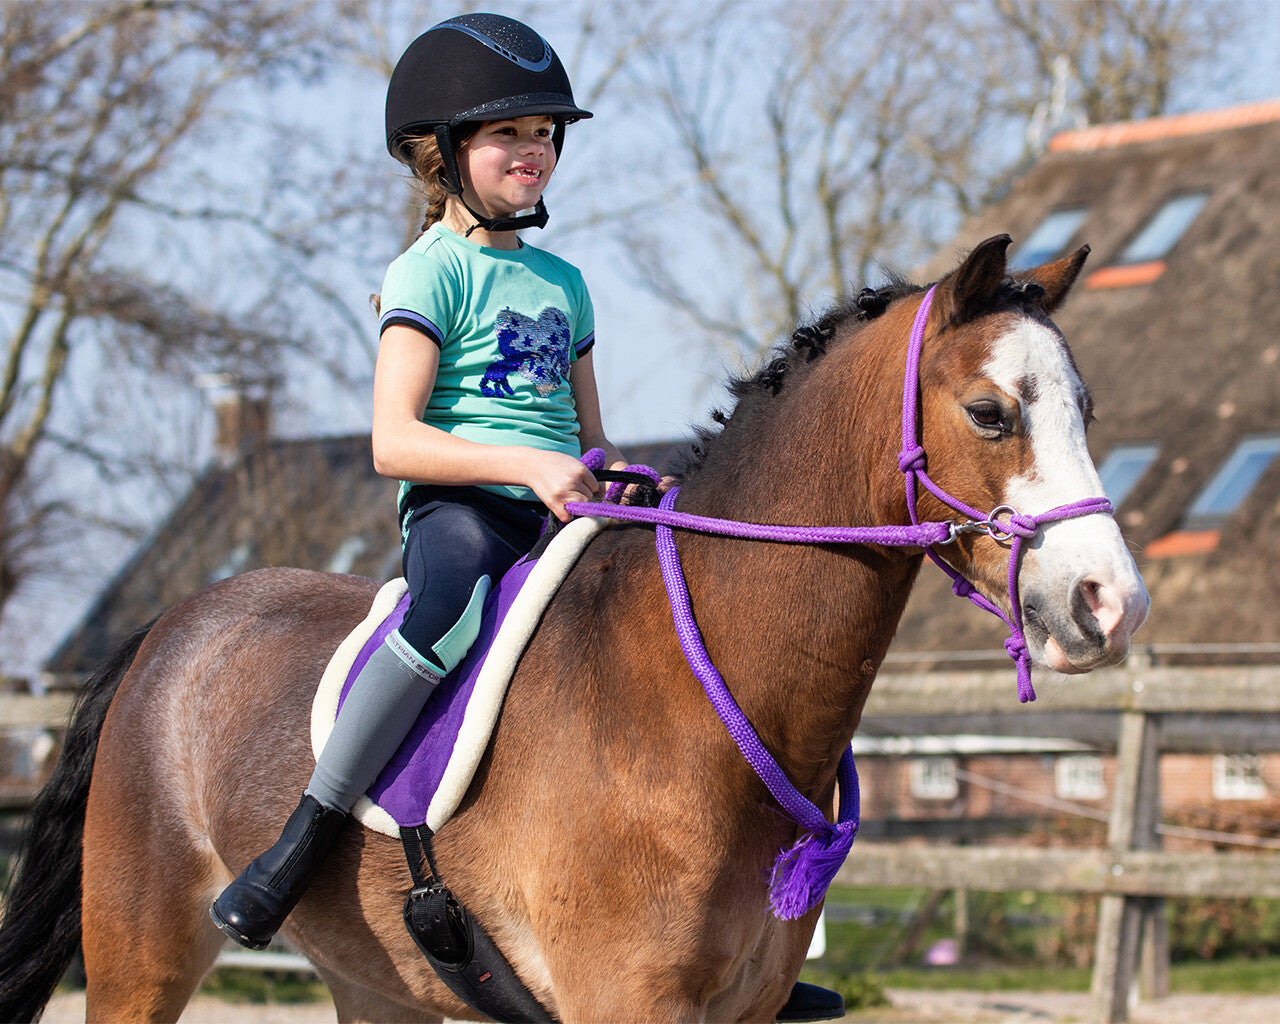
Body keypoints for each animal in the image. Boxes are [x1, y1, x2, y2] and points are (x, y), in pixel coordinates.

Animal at [0, 234, 1141, 1024]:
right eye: (991, 413)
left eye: (1087, 409)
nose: (1109, 601)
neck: (694, 699)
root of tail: (169, 629)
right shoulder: (626, 998)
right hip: (140, 957)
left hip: (377, 983)